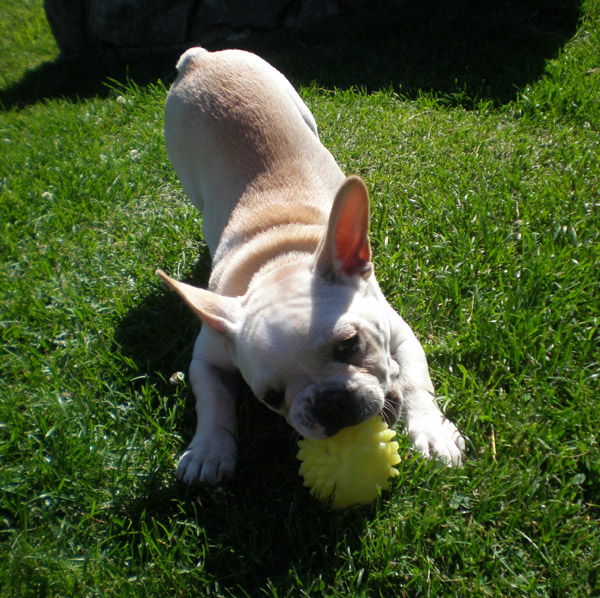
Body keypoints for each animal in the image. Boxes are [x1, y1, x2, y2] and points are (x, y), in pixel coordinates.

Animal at [156, 47, 464, 488]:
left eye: (349, 344)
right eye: (269, 398)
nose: (328, 402)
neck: (277, 260)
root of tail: (202, 58)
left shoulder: (400, 333)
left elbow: (415, 381)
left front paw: (430, 430)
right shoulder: (207, 357)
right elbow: (212, 401)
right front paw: (210, 450)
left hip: (298, 105)